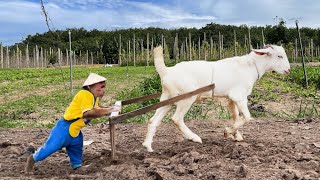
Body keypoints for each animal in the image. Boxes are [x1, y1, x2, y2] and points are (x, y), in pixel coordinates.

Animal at [144, 45, 292, 152]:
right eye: (279, 56)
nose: (288, 70)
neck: (251, 66)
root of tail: (167, 71)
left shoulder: (231, 98)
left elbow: (236, 117)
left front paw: (236, 136)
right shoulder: (240, 96)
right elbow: (247, 117)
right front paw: (228, 132)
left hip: (167, 99)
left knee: (153, 121)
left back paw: (148, 147)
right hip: (186, 98)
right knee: (176, 119)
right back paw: (194, 138)